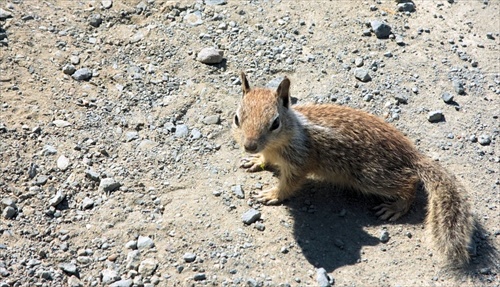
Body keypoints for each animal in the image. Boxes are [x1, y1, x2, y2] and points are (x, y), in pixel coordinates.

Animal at [232, 73, 474, 266]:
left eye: (275, 123)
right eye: (236, 118)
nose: (249, 145)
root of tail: (413, 155)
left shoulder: (299, 161)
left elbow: (289, 184)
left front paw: (272, 194)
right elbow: (265, 159)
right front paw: (255, 161)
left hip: (371, 176)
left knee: (409, 181)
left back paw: (396, 207)